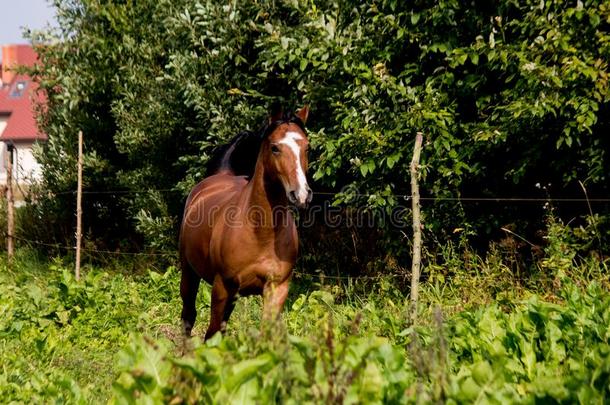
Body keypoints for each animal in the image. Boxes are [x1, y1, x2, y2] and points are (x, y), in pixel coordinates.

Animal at [176, 106, 308, 338]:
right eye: (275, 148)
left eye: (307, 147)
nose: (300, 194)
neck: (260, 233)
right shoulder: (221, 287)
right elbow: (212, 334)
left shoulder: (277, 289)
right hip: (190, 272)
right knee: (188, 316)